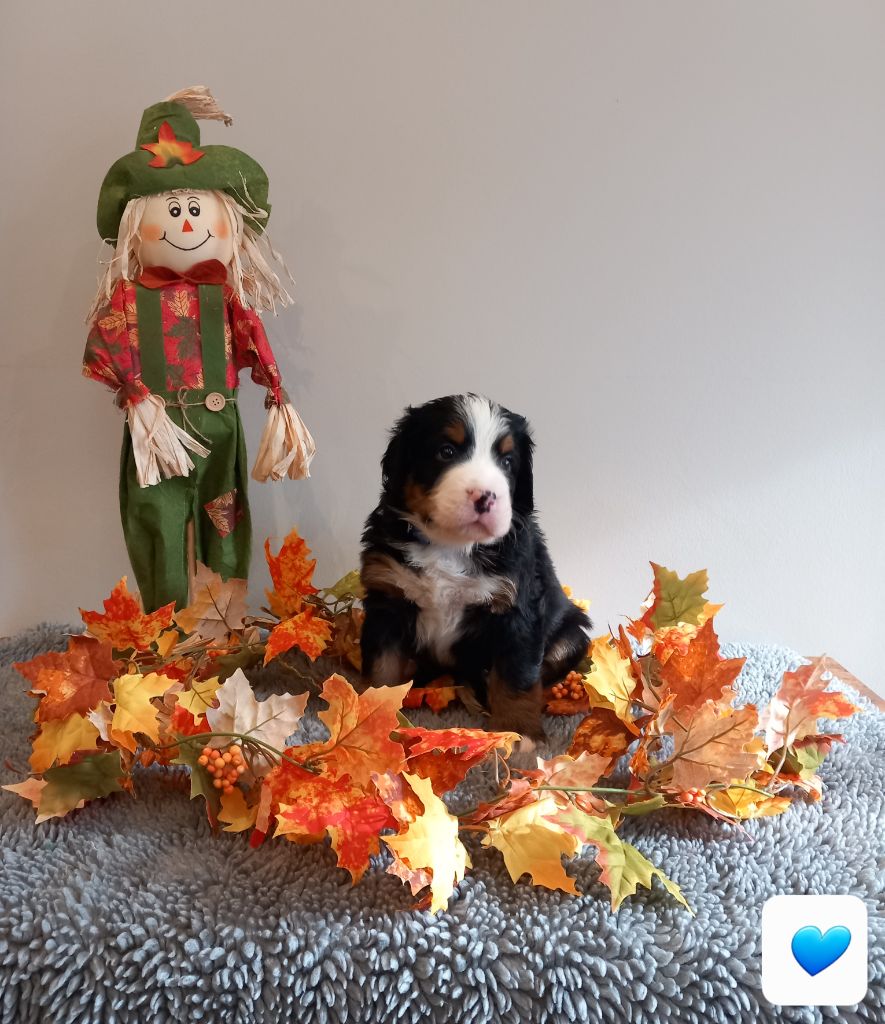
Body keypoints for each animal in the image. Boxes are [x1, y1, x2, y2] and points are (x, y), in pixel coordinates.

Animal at [359, 393, 591, 746]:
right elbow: (382, 670)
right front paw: (375, 718)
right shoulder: (387, 600)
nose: (485, 496)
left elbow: (517, 675)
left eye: (507, 462)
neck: (451, 545)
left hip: (572, 635)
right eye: (446, 451)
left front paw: (519, 732)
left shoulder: (517, 608)